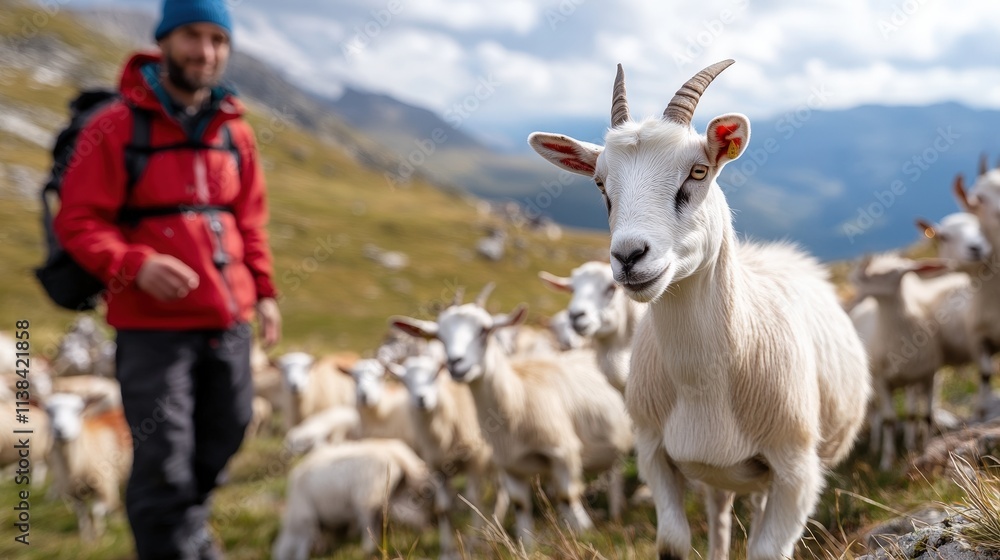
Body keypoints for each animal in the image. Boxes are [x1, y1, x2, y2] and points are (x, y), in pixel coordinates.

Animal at [528, 60, 870, 560]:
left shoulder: (797, 470)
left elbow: (766, 551)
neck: (704, 382)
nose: (629, 256)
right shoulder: (654, 454)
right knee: (720, 514)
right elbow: (673, 541)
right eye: (600, 184)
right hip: (717, 471)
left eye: (698, 170)